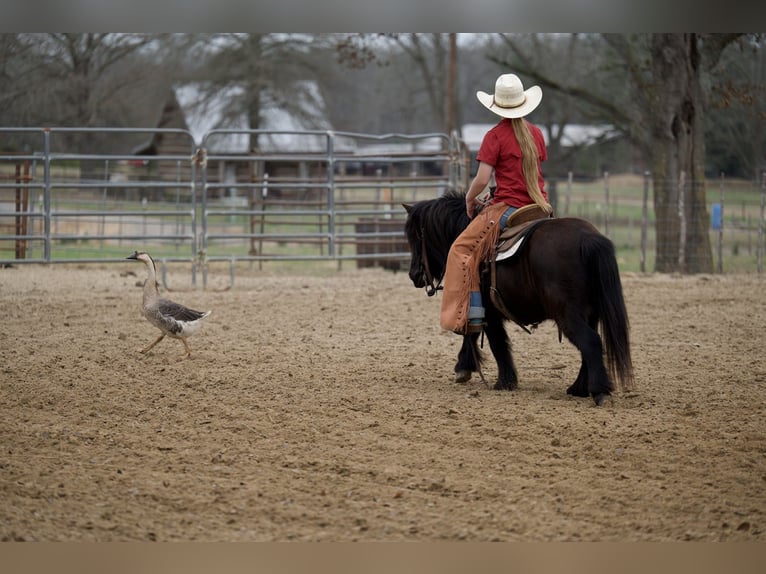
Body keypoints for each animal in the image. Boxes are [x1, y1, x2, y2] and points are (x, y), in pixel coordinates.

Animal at [403, 190, 633, 406]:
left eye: (415, 237)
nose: (414, 275)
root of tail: (588, 238)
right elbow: (475, 335)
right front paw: (465, 367)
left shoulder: (488, 311)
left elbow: (496, 342)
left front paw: (504, 381)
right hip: (591, 313)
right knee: (591, 345)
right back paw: (578, 388)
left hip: (568, 314)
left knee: (591, 342)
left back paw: (598, 391)